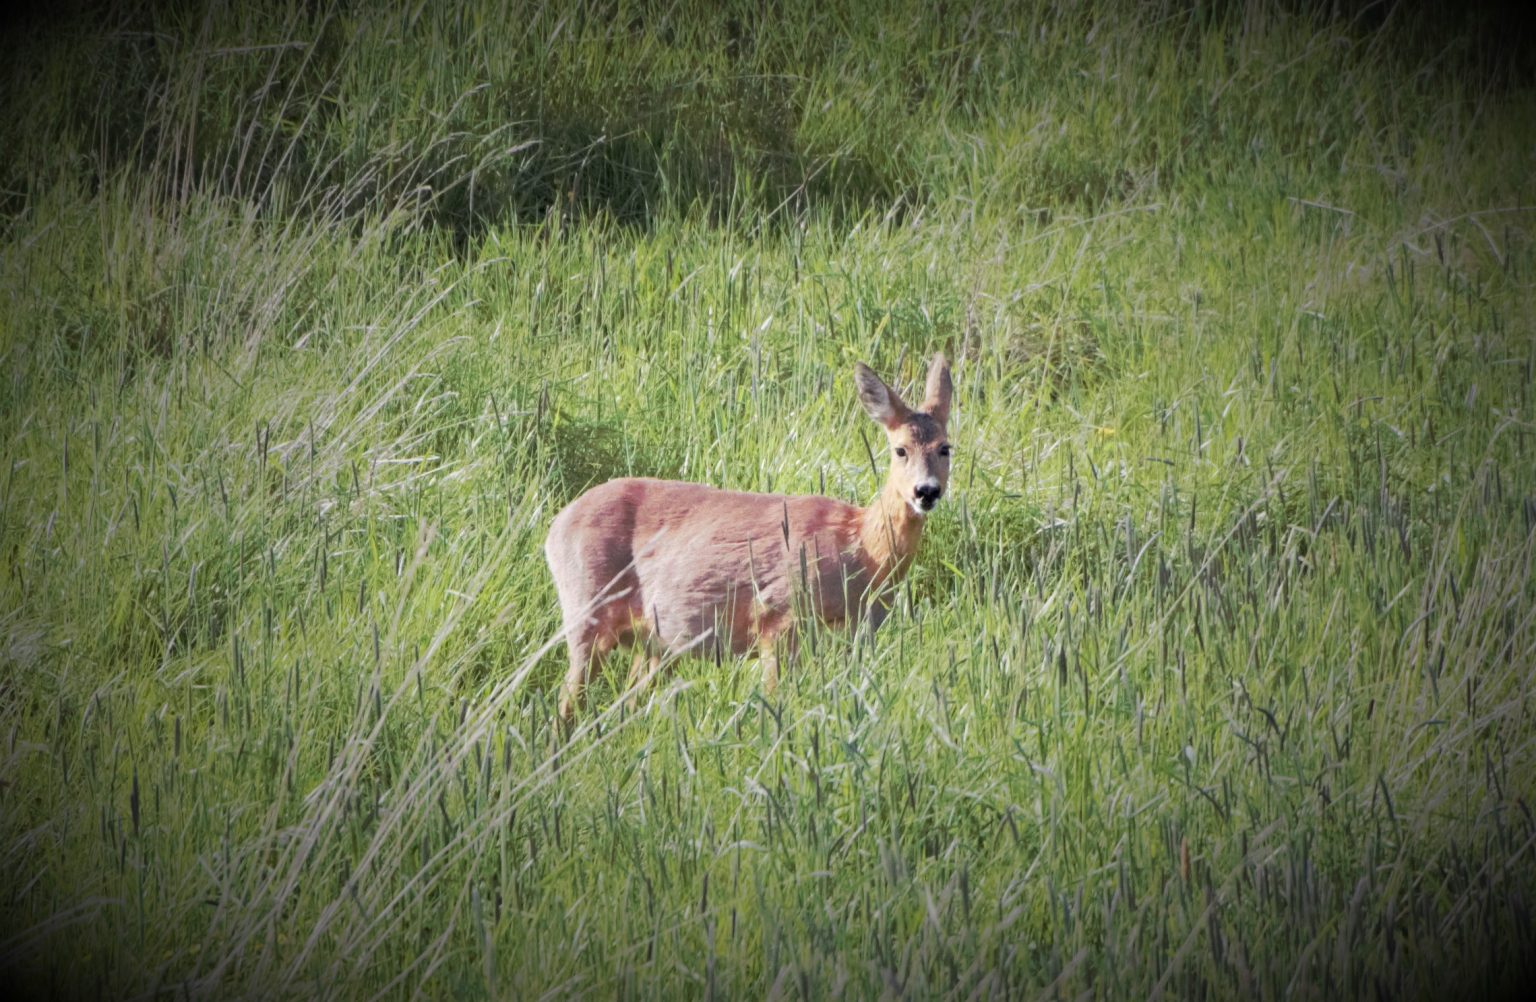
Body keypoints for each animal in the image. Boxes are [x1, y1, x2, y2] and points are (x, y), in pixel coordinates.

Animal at [545, 353, 954, 727]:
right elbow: (774, 706)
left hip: (654, 645)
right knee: (566, 703)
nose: (926, 492)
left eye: (946, 447)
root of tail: (555, 527)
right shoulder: (778, 617)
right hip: (586, 610)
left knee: (626, 705)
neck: (862, 552)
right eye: (899, 450)